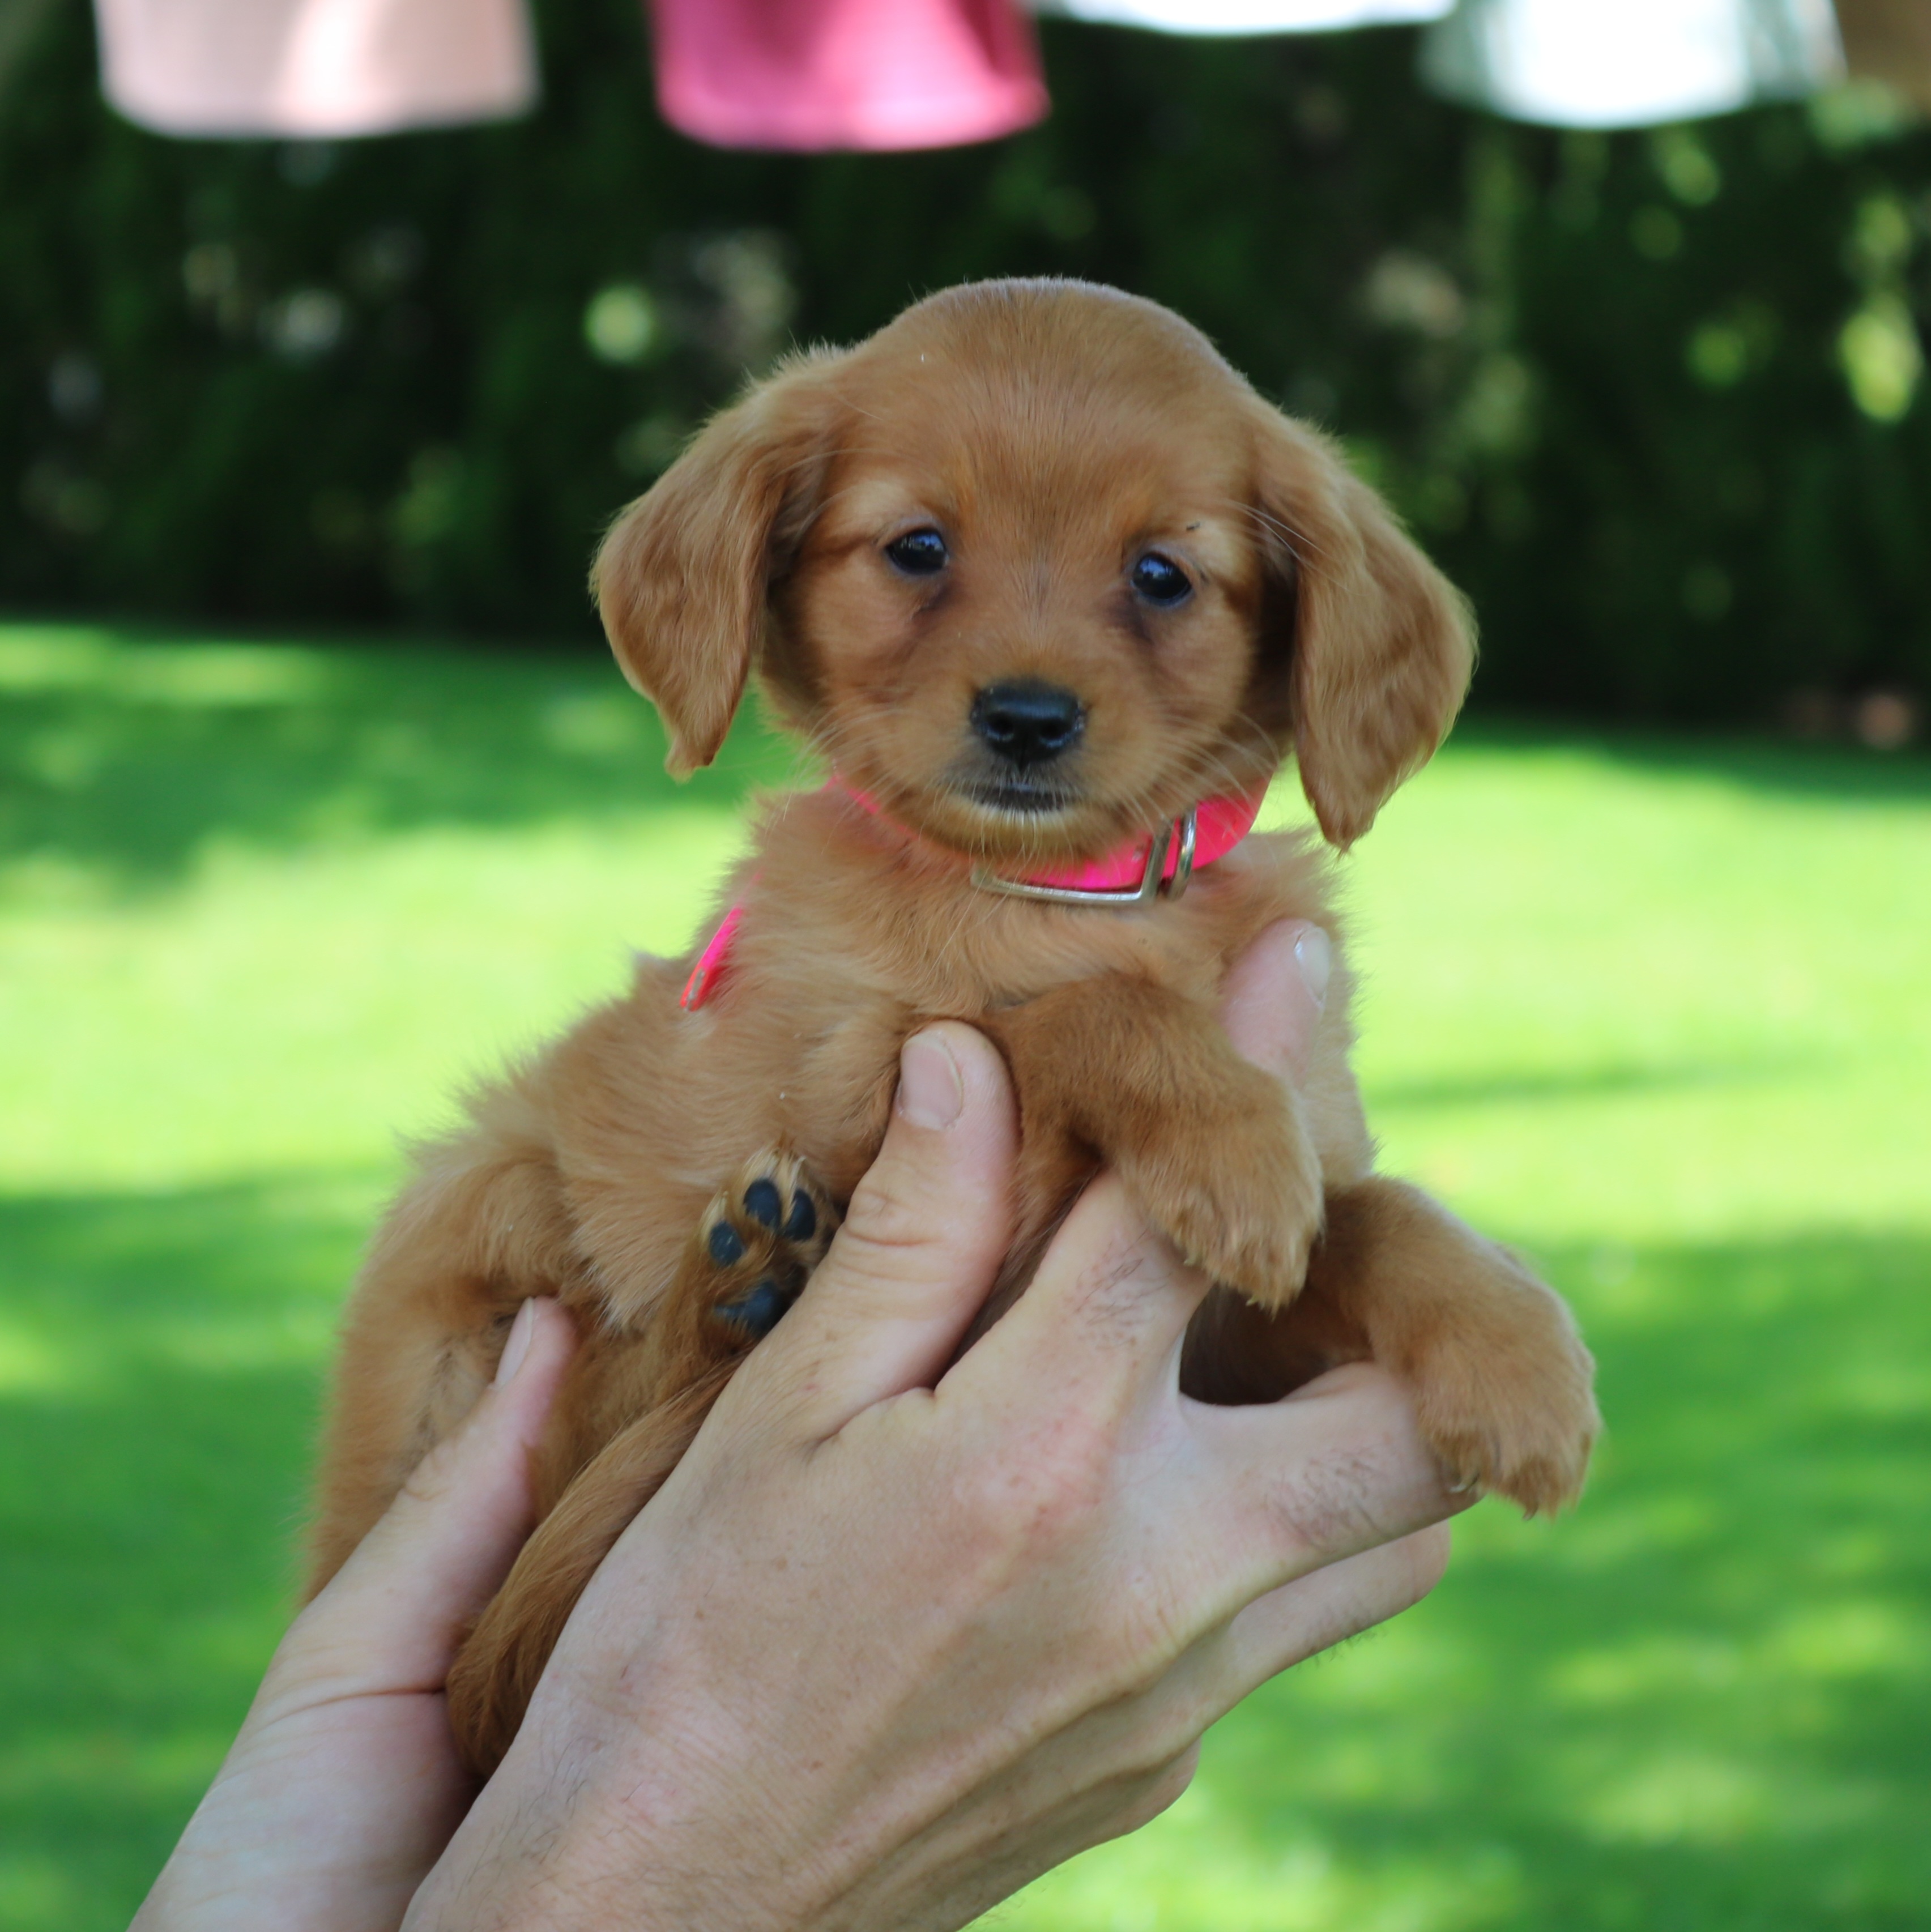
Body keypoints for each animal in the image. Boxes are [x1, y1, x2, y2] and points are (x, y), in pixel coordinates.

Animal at [305, 280, 1600, 1769]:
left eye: (1163, 574)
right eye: (917, 548)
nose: (1028, 718)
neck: (1050, 895)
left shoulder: (1231, 1355)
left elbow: (1375, 1208)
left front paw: (1512, 1347)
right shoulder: (861, 1082)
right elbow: (1067, 1015)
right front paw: (1228, 1140)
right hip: (486, 1203)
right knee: (603, 1421)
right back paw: (746, 1281)